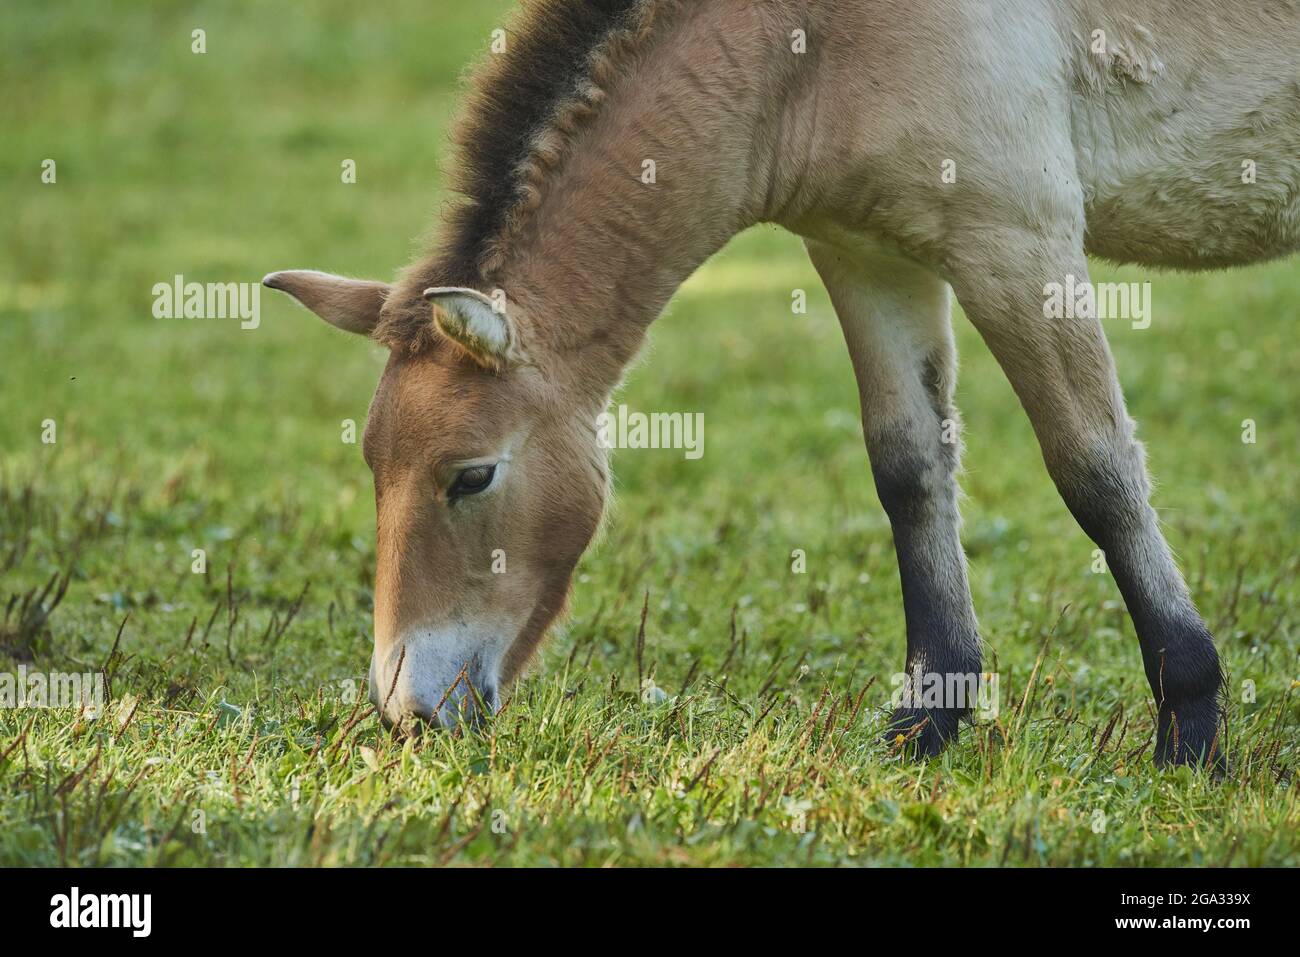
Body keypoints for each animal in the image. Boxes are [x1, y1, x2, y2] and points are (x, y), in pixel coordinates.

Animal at [263, 0, 1300, 764]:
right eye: (373, 466)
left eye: (471, 475)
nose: (407, 709)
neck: (813, 41)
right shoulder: (867, 255)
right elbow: (910, 471)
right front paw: (931, 716)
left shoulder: (1017, 247)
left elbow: (1096, 471)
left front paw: (1191, 724)